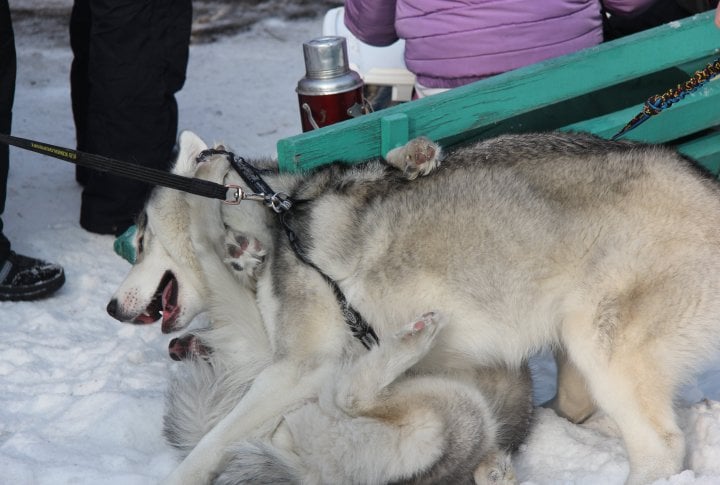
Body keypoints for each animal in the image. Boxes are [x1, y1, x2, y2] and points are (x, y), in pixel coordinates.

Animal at [167, 130, 720, 484]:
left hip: (595, 343)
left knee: (660, 447)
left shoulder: (293, 367)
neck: (280, 213)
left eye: (149, 235)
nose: (121, 309)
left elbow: (213, 440)